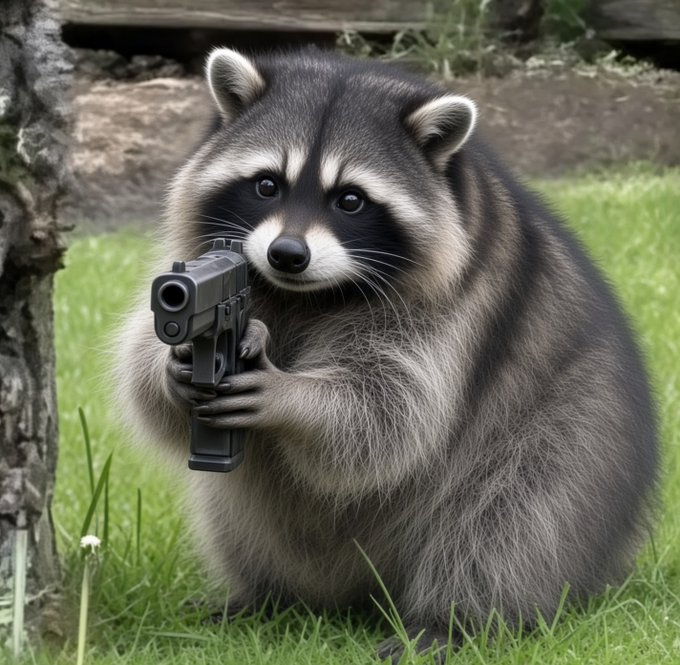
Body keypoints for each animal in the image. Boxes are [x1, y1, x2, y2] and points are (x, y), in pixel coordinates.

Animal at [115, 48, 658, 655]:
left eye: (350, 199)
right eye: (267, 185)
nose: (286, 254)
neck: (304, 294)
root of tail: (360, 590)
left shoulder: (452, 306)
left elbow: (391, 410)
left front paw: (291, 397)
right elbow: (143, 365)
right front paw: (172, 369)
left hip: (574, 439)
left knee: (507, 527)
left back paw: (454, 619)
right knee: (235, 510)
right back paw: (264, 596)